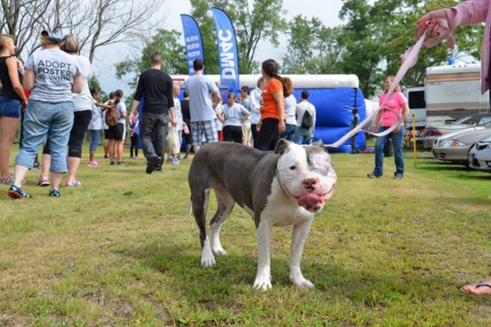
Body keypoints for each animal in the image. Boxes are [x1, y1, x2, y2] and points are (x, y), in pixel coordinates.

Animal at [189, 140, 338, 290]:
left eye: (324, 166)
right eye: (292, 167)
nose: (310, 180)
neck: (289, 197)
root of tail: (207, 145)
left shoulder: (303, 225)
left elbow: (296, 255)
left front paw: (298, 280)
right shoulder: (264, 224)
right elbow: (264, 256)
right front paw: (263, 281)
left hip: (227, 202)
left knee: (214, 223)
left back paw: (217, 249)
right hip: (200, 199)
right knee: (202, 230)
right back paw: (207, 257)